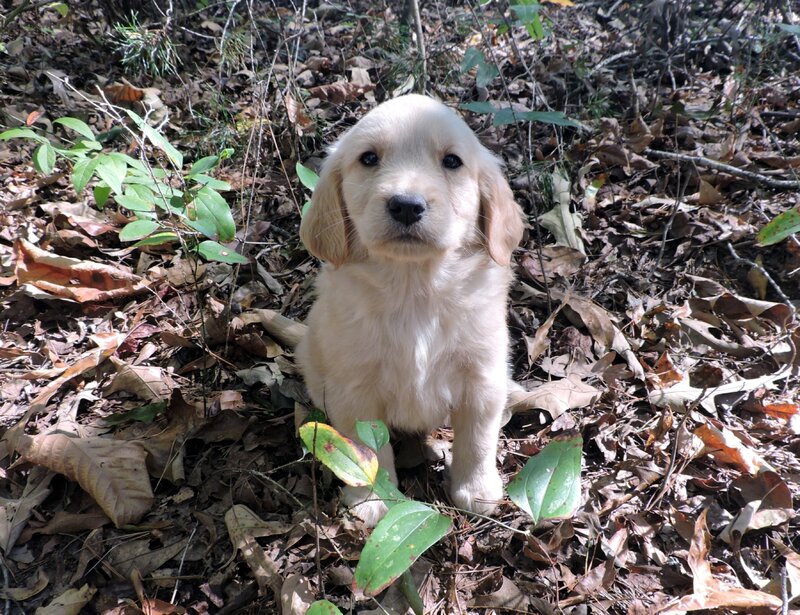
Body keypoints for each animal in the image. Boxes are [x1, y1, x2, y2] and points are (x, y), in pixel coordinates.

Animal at [296, 95, 524, 524]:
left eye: (451, 161)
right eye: (369, 158)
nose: (405, 205)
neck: (413, 288)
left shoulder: (480, 379)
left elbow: (478, 439)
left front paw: (476, 488)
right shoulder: (354, 391)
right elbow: (366, 450)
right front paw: (372, 498)